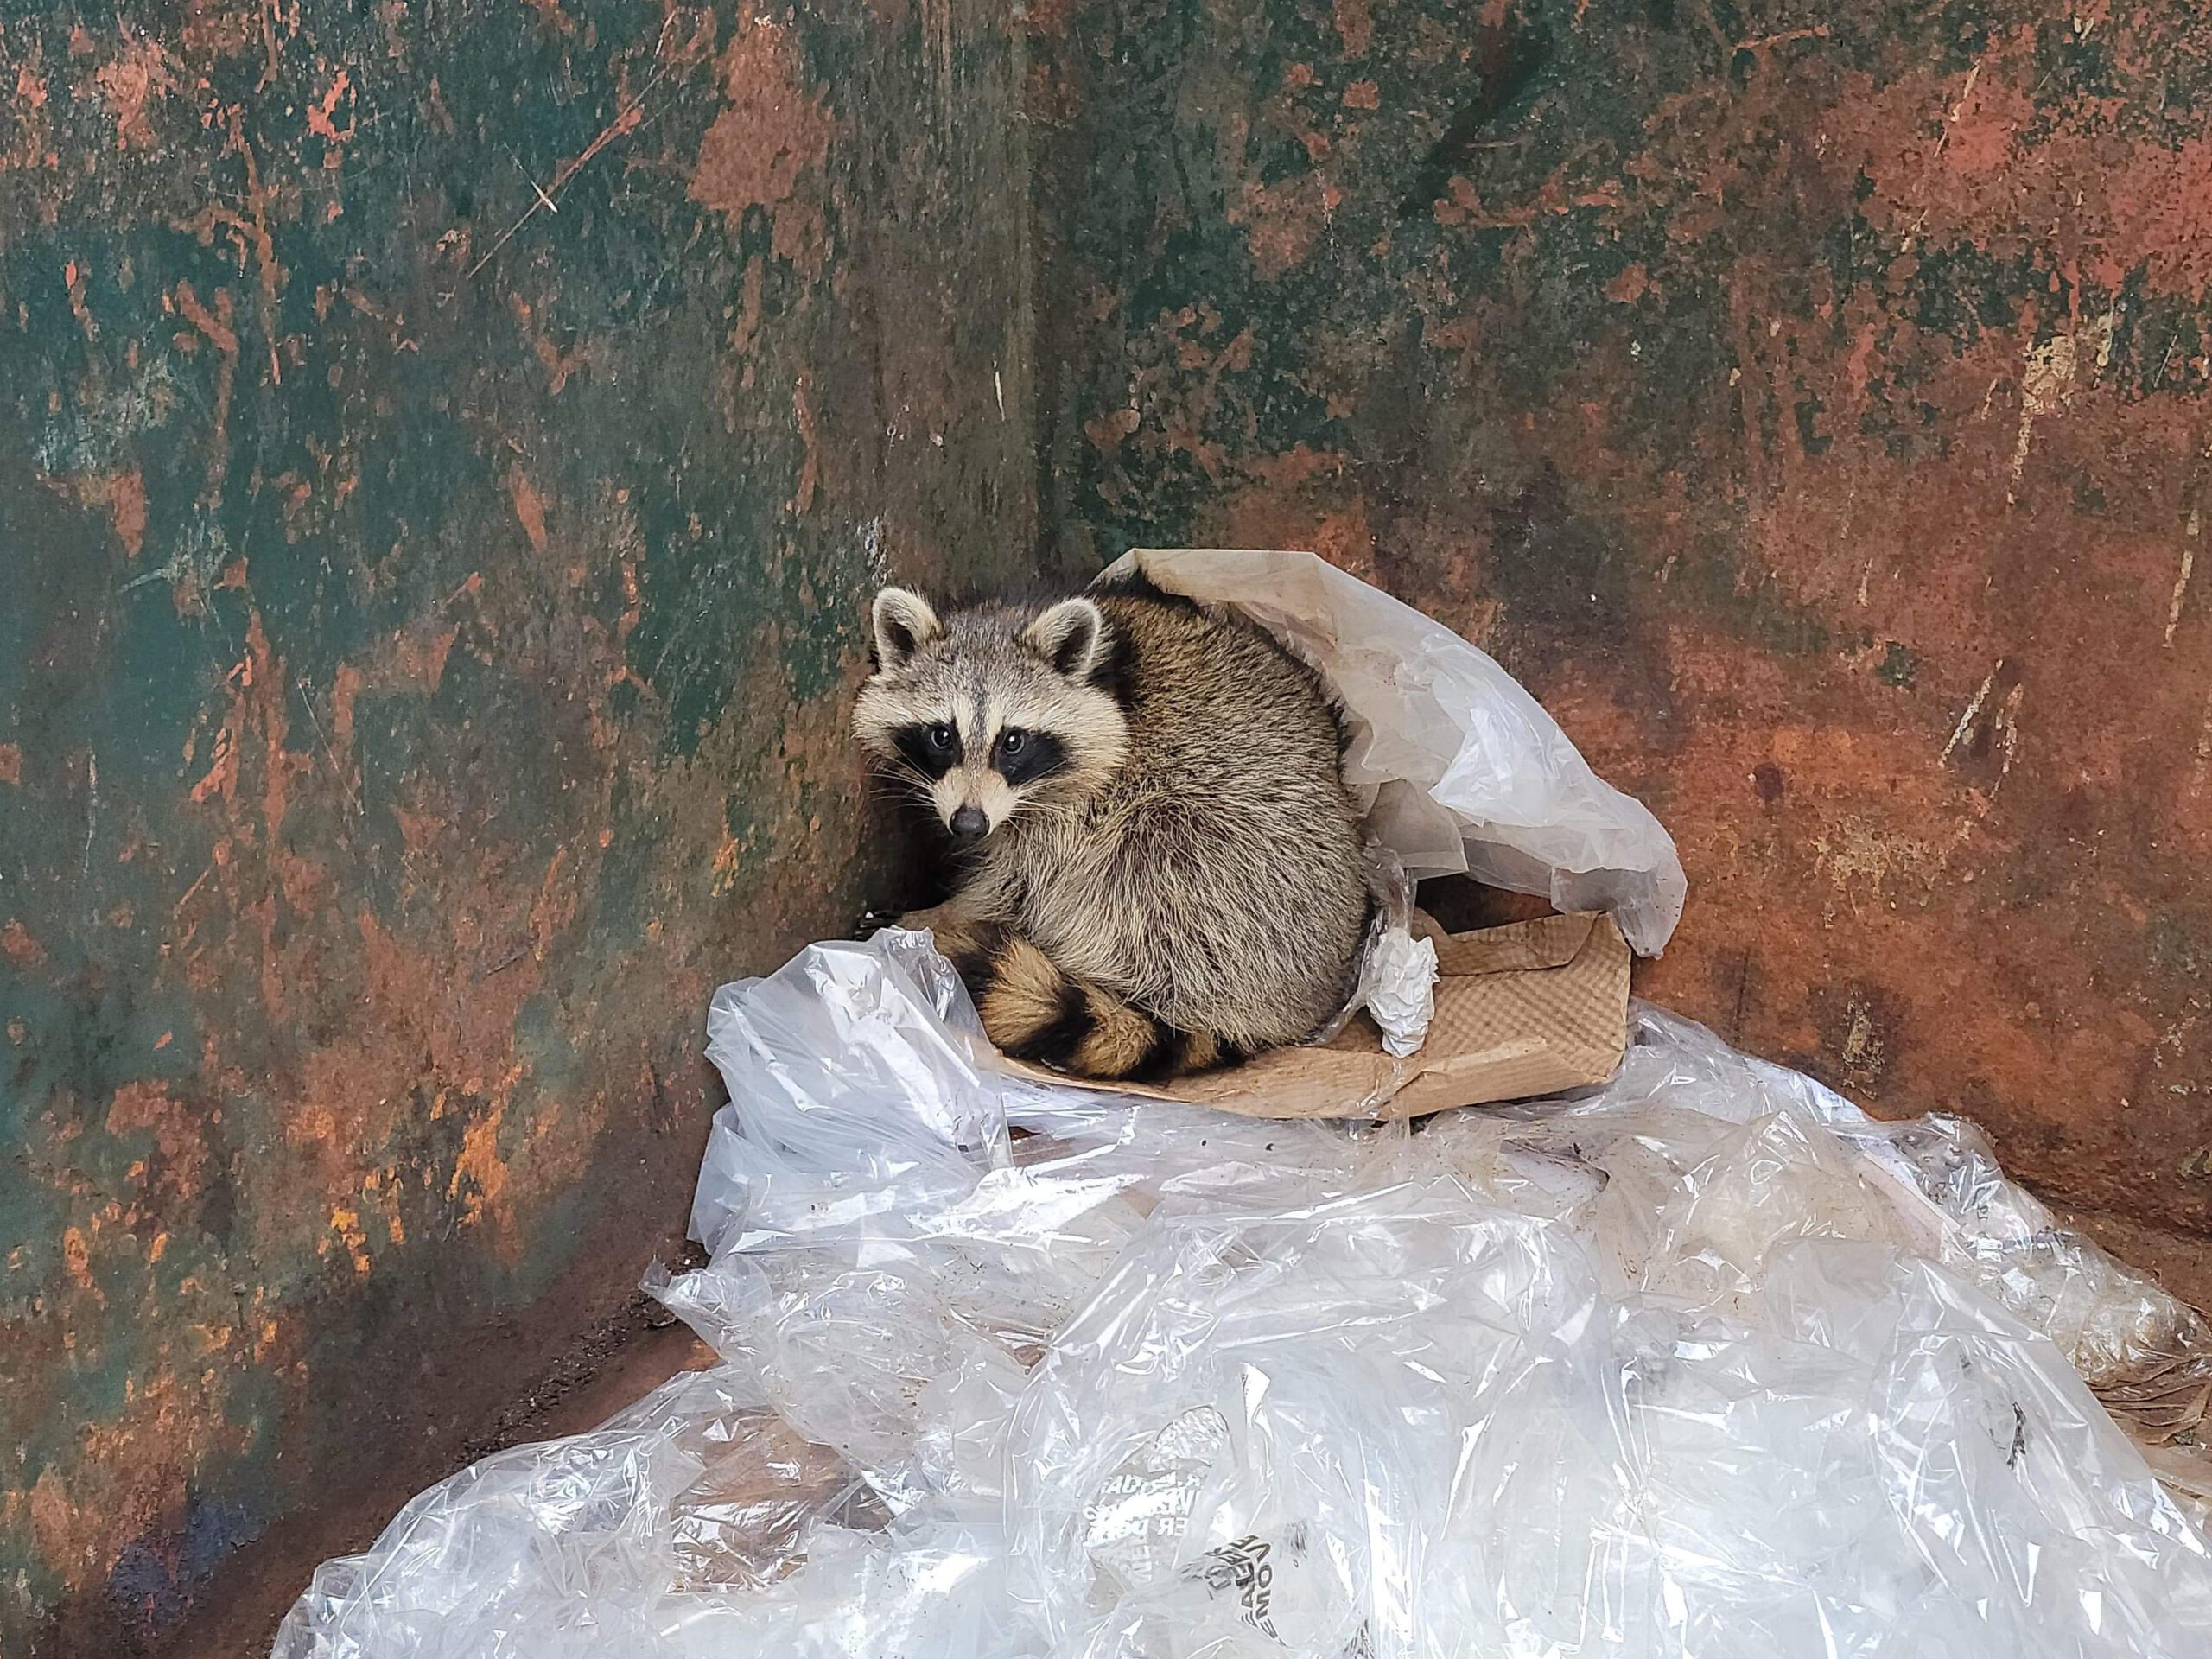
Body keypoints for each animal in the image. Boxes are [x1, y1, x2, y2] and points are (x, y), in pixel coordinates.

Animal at [844, 575, 1362, 1092]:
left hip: (1239, 864)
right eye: (942, 736)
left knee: (1144, 863)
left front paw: (941, 916)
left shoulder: (1085, 805)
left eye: (1012, 741)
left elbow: (1021, 887)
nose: (969, 824)